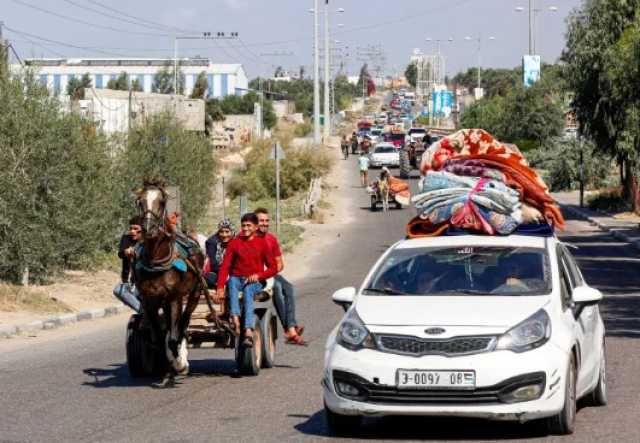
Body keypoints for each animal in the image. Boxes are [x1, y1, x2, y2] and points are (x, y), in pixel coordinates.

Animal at [134, 181, 204, 378]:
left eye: (162, 202)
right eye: (140, 201)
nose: (148, 229)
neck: (156, 261)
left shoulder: (175, 297)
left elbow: (174, 337)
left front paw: (179, 363)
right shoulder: (149, 299)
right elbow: (158, 337)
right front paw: (167, 362)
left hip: (194, 294)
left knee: (183, 324)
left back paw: (182, 357)